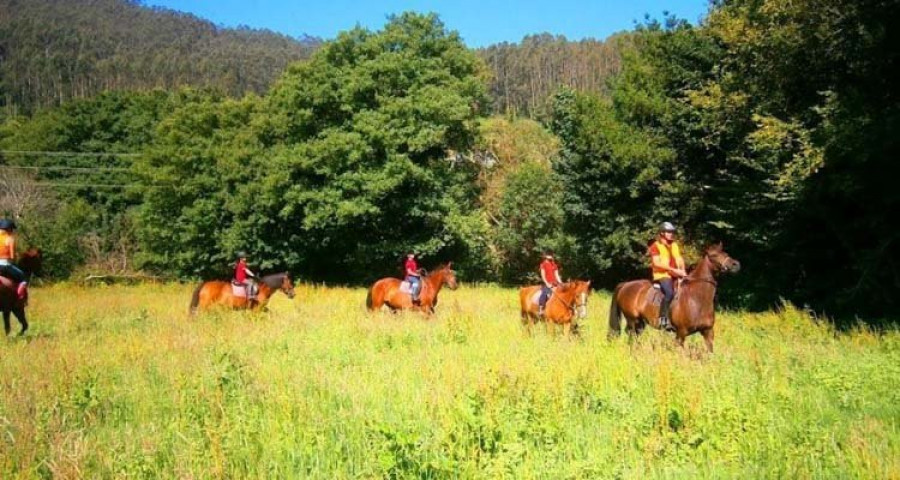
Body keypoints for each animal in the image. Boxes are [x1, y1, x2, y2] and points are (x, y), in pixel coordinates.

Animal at [608, 244, 740, 352]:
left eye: (725, 253)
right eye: (714, 255)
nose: (735, 265)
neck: (697, 299)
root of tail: (626, 284)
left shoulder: (708, 332)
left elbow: (710, 352)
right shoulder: (681, 333)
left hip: (641, 322)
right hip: (632, 320)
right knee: (631, 335)